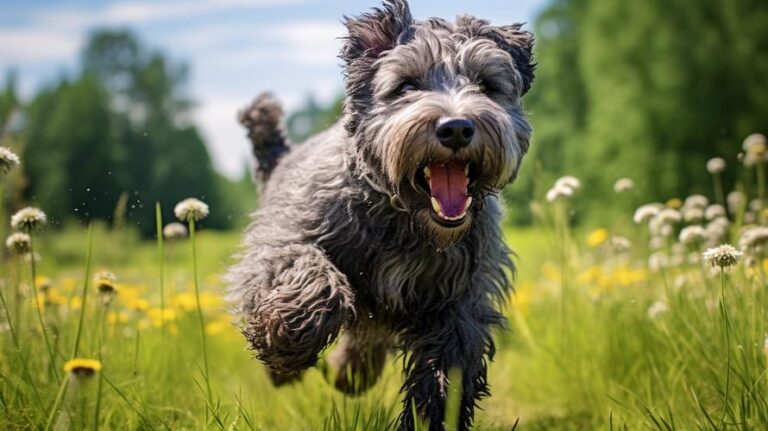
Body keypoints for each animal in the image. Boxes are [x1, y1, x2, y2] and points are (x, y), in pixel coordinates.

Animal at [228, 1, 536, 430]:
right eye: (406, 86)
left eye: (487, 84)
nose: (457, 128)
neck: (401, 214)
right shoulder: (283, 240)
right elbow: (310, 273)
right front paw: (289, 337)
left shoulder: (462, 303)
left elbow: (445, 371)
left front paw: (432, 416)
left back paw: (349, 372)